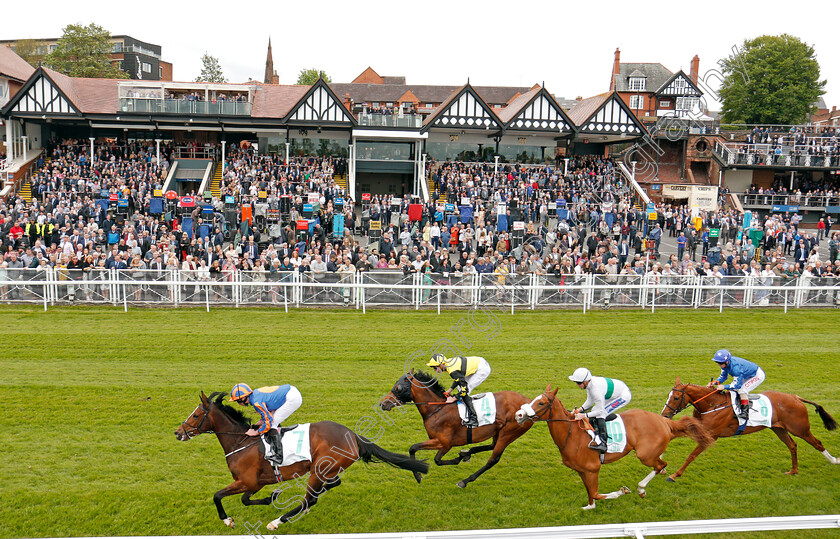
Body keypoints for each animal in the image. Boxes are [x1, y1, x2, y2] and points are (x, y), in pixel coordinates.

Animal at [175, 390, 430, 528]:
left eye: (196, 415)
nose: (178, 433)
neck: (241, 442)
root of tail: (352, 435)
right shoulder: (255, 483)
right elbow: (246, 500)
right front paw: (271, 497)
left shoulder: (247, 481)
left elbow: (218, 495)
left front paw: (227, 520)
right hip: (326, 469)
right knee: (328, 487)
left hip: (318, 470)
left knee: (310, 499)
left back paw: (277, 521)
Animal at [378, 372, 532, 490]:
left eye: (398, 388)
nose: (383, 403)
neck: (436, 409)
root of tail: (529, 402)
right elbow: (416, 450)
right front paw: (461, 456)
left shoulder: (445, 443)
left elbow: (430, 456)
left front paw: (418, 475)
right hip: (499, 431)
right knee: (491, 446)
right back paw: (466, 453)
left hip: (509, 432)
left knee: (493, 459)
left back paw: (465, 480)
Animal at [516, 384, 712, 510]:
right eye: (534, 400)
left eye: (541, 403)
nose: (519, 414)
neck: (572, 434)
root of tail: (664, 420)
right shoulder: (582, 470)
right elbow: (590, 494)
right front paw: (589, 507)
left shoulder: (592, 468)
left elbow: (596, 493)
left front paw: (621, 492)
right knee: (660, 463)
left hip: (644, 454)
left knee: (660, 465)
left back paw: (641, 489)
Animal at [660, 376, 836, 480]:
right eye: (669, 396)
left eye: (676, 397)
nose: (665, 415)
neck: (712, 404)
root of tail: (795, 397)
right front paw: (661, 467)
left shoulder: (709, 435)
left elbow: (691, 455)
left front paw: (675, 475)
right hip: (779, 429)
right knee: (792, 445)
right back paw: (793, 470)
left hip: (800, 429)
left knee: (817, 443)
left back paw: (835, 460)